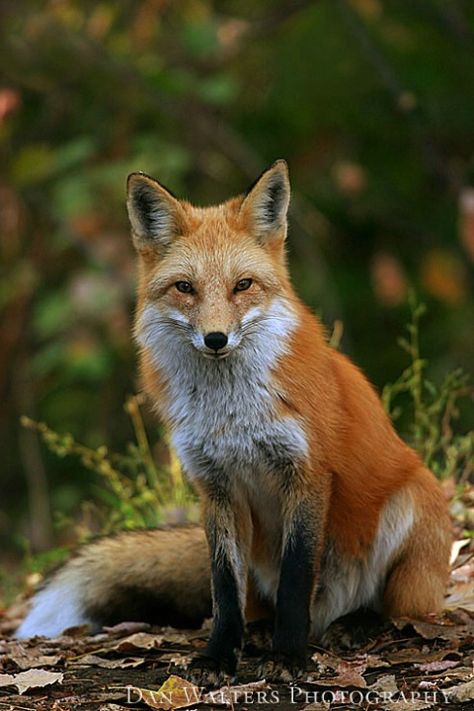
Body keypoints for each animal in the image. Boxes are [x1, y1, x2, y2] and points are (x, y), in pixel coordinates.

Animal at [17, 161, 448, 684]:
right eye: (185, 287)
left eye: (243, 285)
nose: (216, 339)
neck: (231, 416)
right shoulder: (215, 485)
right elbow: (224, 591)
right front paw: (220, 656)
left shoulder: (306, 475)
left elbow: (296, 579)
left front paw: (288, 655)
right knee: (254, 601)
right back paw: (261, 633)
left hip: (410, 509)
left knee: (400, 610)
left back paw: (358, 623)